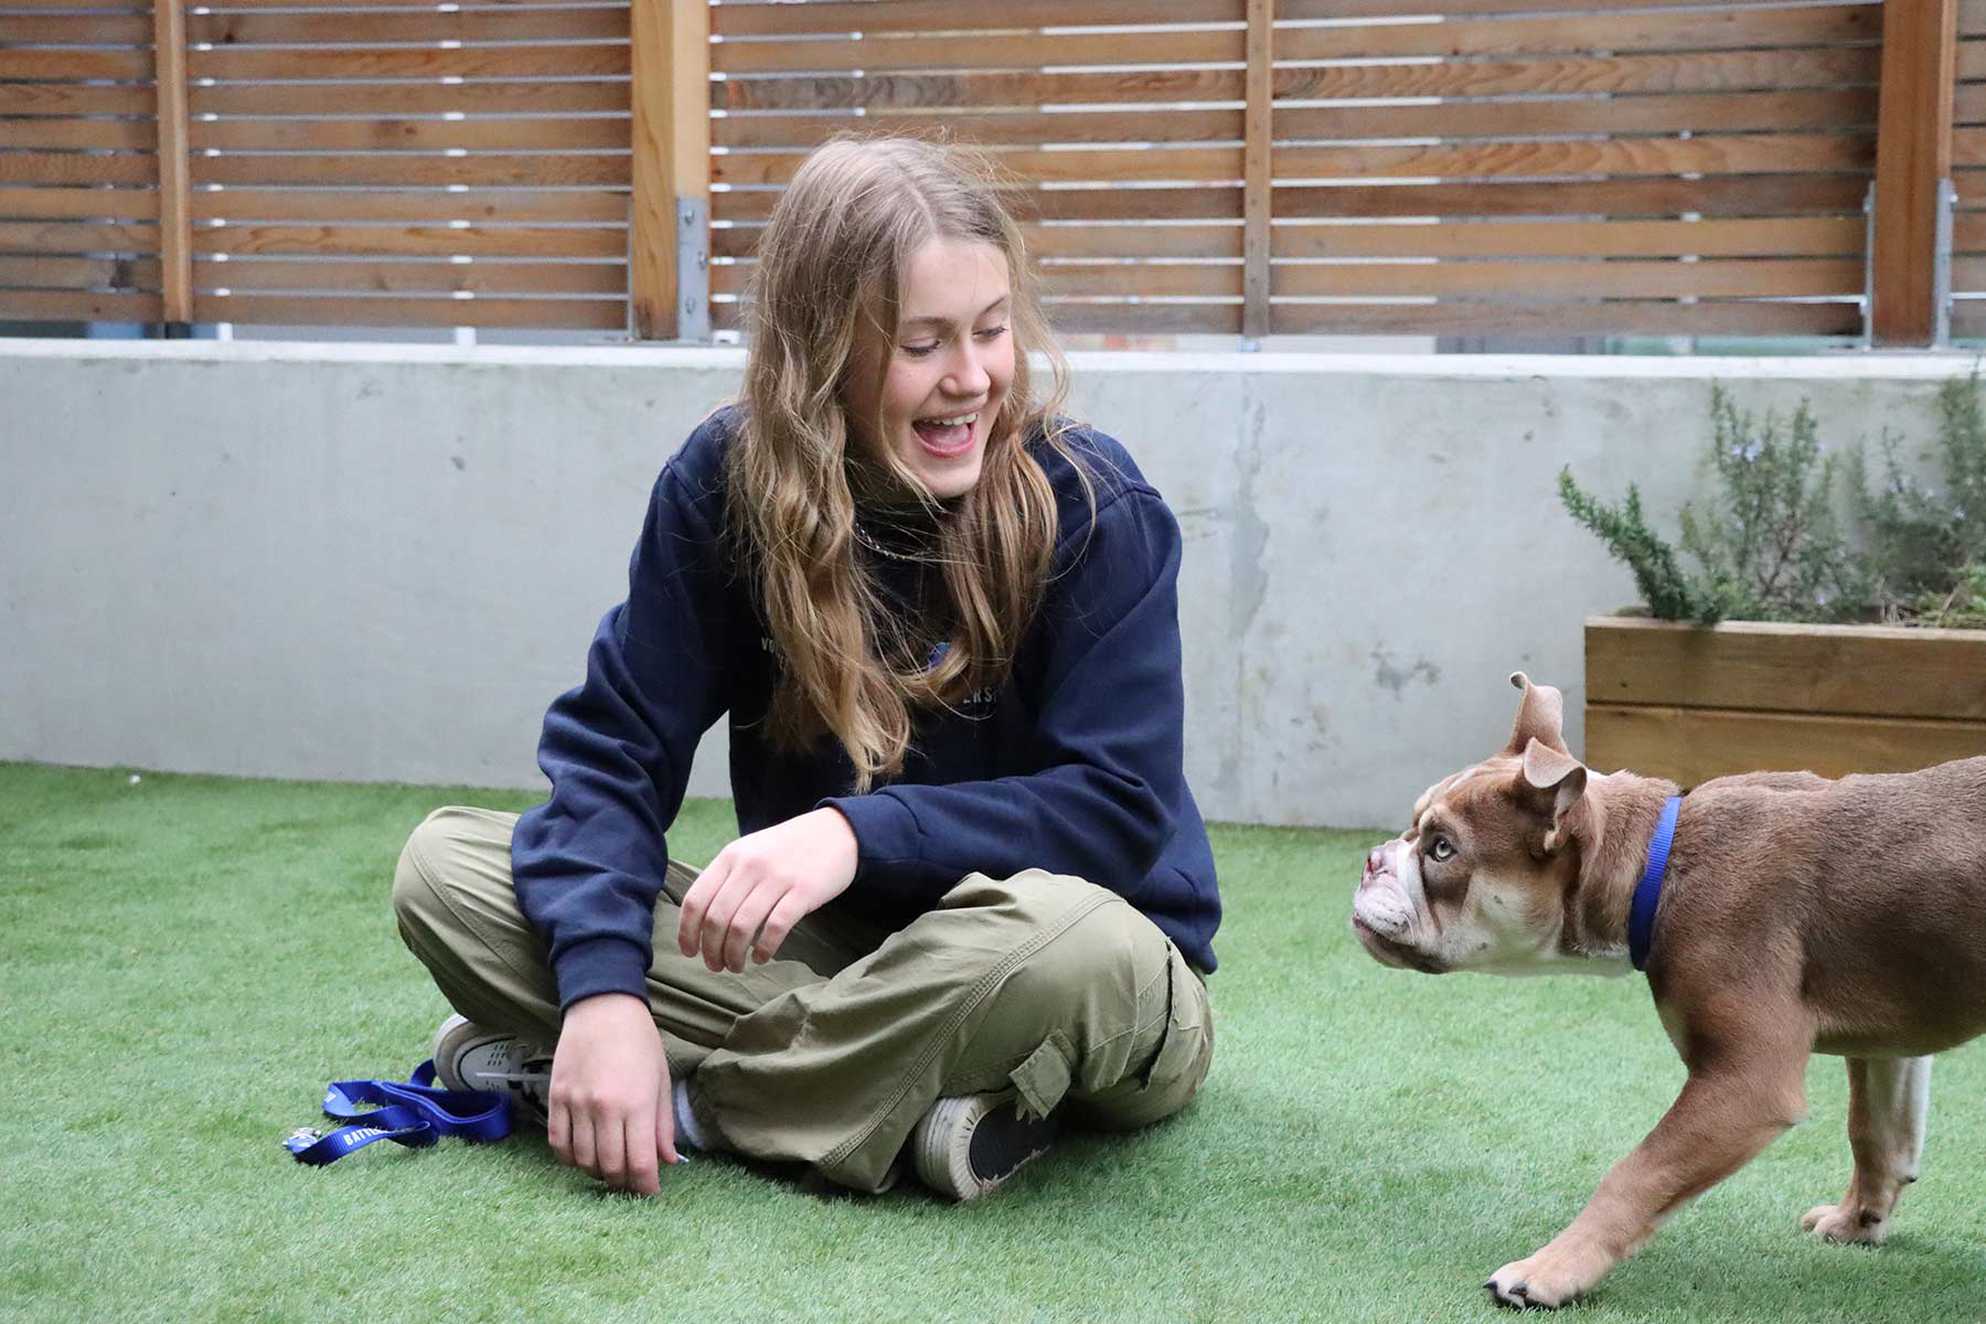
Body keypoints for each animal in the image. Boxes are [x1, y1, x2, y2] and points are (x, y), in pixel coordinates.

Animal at [1350, 678, 1986, 1310]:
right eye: (1414, 830)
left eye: (1442, 850)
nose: (1372, 859)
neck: (1656, 865)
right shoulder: (1890, 1045)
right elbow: (1876, 1132)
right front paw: (1859, 1221)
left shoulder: (1747, 1081)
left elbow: (1638, 1173)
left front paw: (1550, 1269)